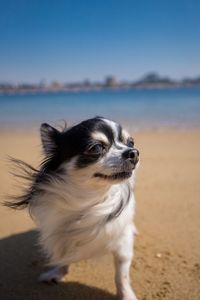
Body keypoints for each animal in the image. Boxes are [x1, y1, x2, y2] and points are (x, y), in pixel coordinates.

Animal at [7, 116, 140, 300]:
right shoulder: (63, 234)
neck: (87, 199)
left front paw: (126, 295)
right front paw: (57, 272)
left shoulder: (122, 245)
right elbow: (64, 256)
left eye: (130, 142)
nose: (134, 152)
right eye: (96, 147)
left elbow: (122, 275)